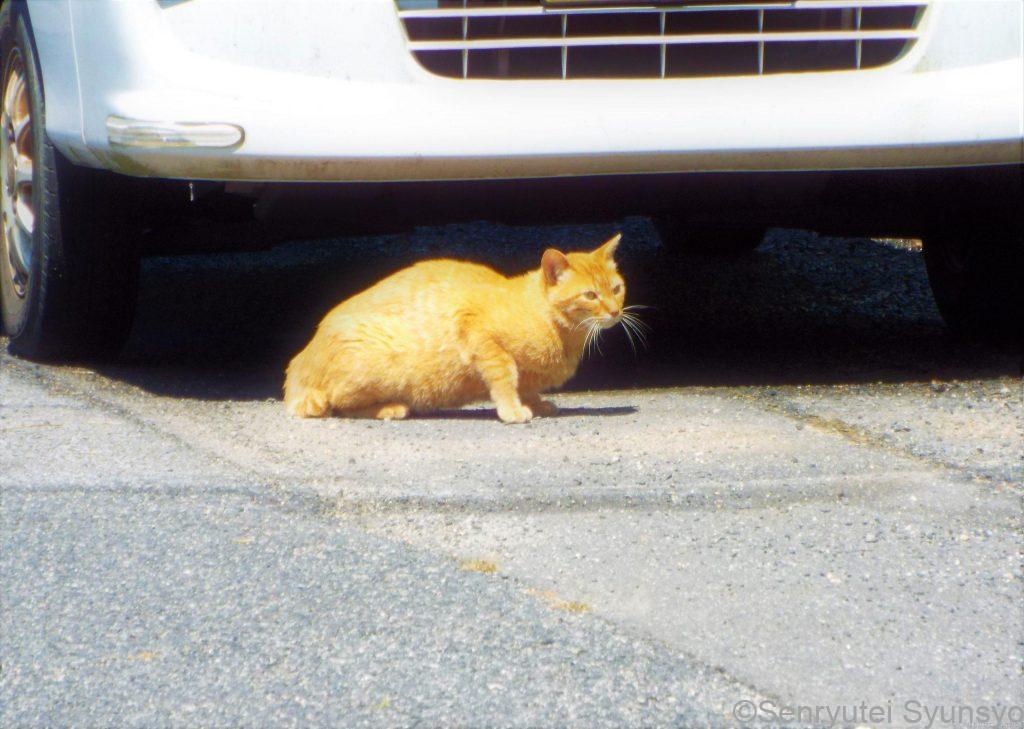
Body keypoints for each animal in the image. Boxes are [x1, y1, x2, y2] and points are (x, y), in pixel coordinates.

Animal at [284, 233, 626, 423]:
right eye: (590, 295)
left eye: (617, 288)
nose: (615, 311)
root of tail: (300, 361)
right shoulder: (476, 330)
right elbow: (506, 376)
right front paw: (512, 409)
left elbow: (525, 385)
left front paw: (534, 403)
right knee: (336, 403)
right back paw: (389, 408)